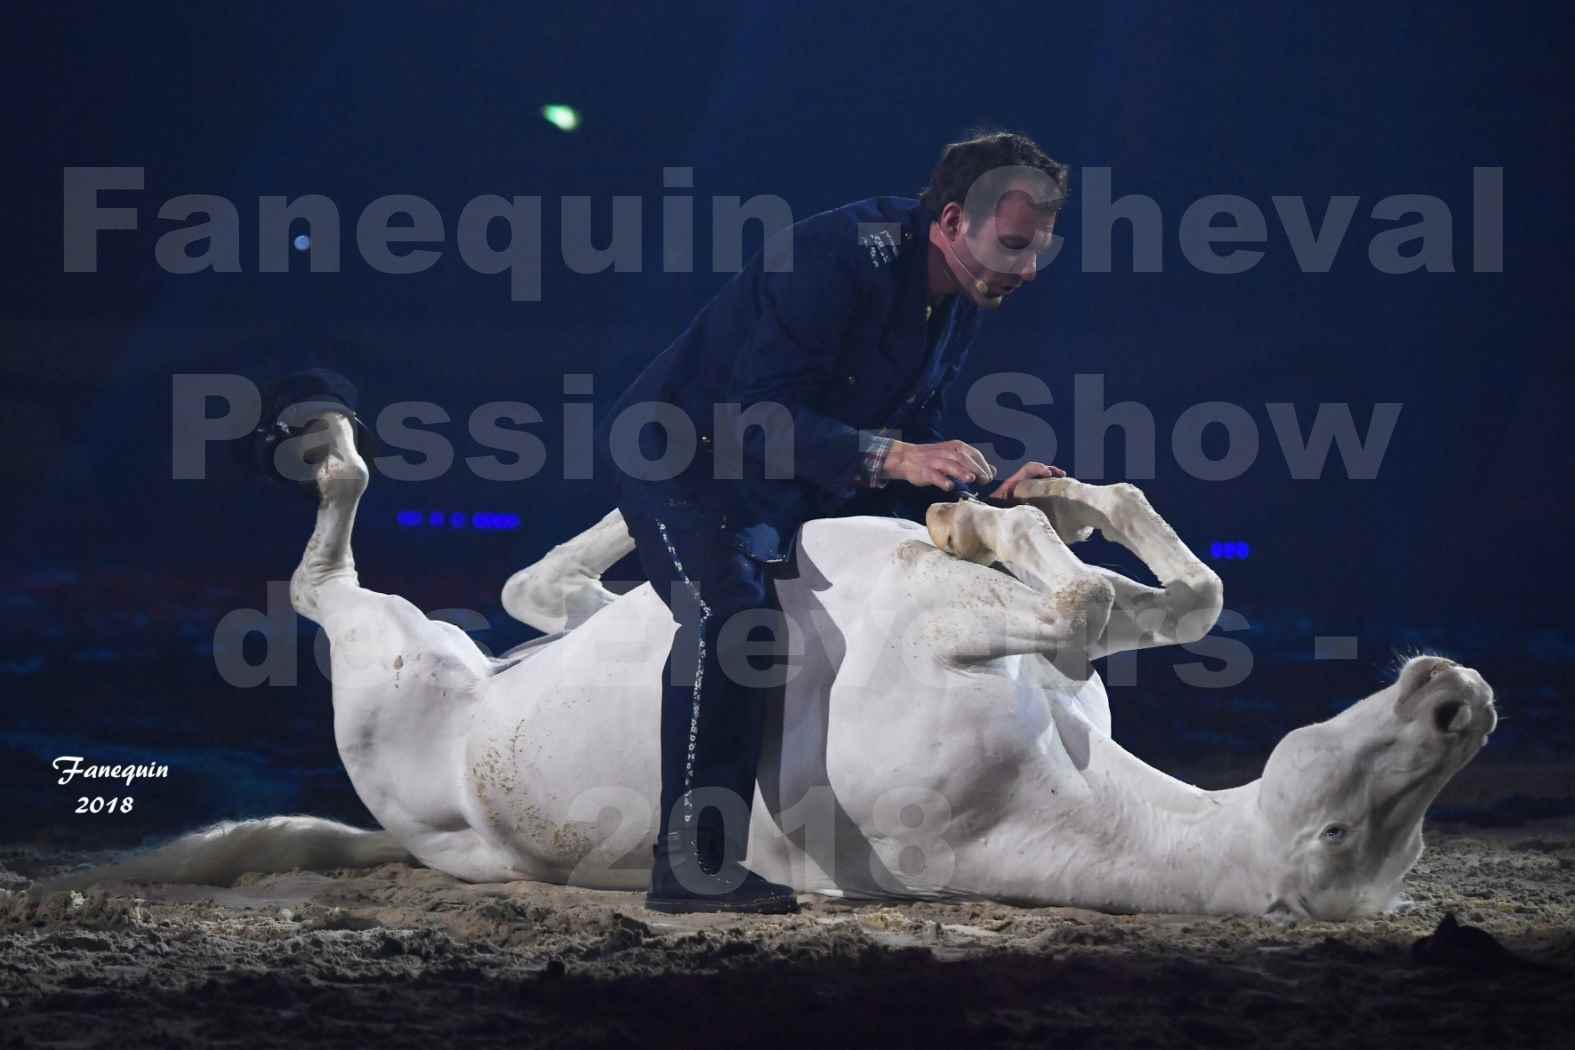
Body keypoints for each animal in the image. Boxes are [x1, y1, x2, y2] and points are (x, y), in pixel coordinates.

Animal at [46, 409, 1499, 919]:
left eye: (1351, 838)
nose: (1460, 700)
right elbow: (1174, 596)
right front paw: (1043, 499)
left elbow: (1089, 600)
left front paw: (994, 521)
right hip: (468, 642)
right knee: (538, 590)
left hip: (393, 659)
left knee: (324, 586)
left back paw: (337, 452)